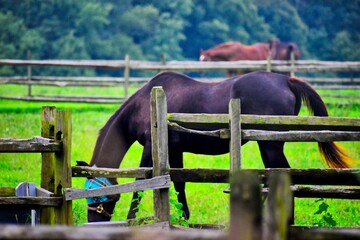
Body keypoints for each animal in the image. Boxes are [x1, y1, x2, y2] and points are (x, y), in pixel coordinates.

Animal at [86, 70, 352, 222]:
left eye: (98, 198)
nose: (93, 222)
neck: (144, 103)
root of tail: (286, 80)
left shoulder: (151, 148)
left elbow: (141, 183)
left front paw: (132, 219)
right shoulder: (175, 150)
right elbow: (178, 183)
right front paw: (184, 219)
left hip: (271, 145)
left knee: (283, 177)